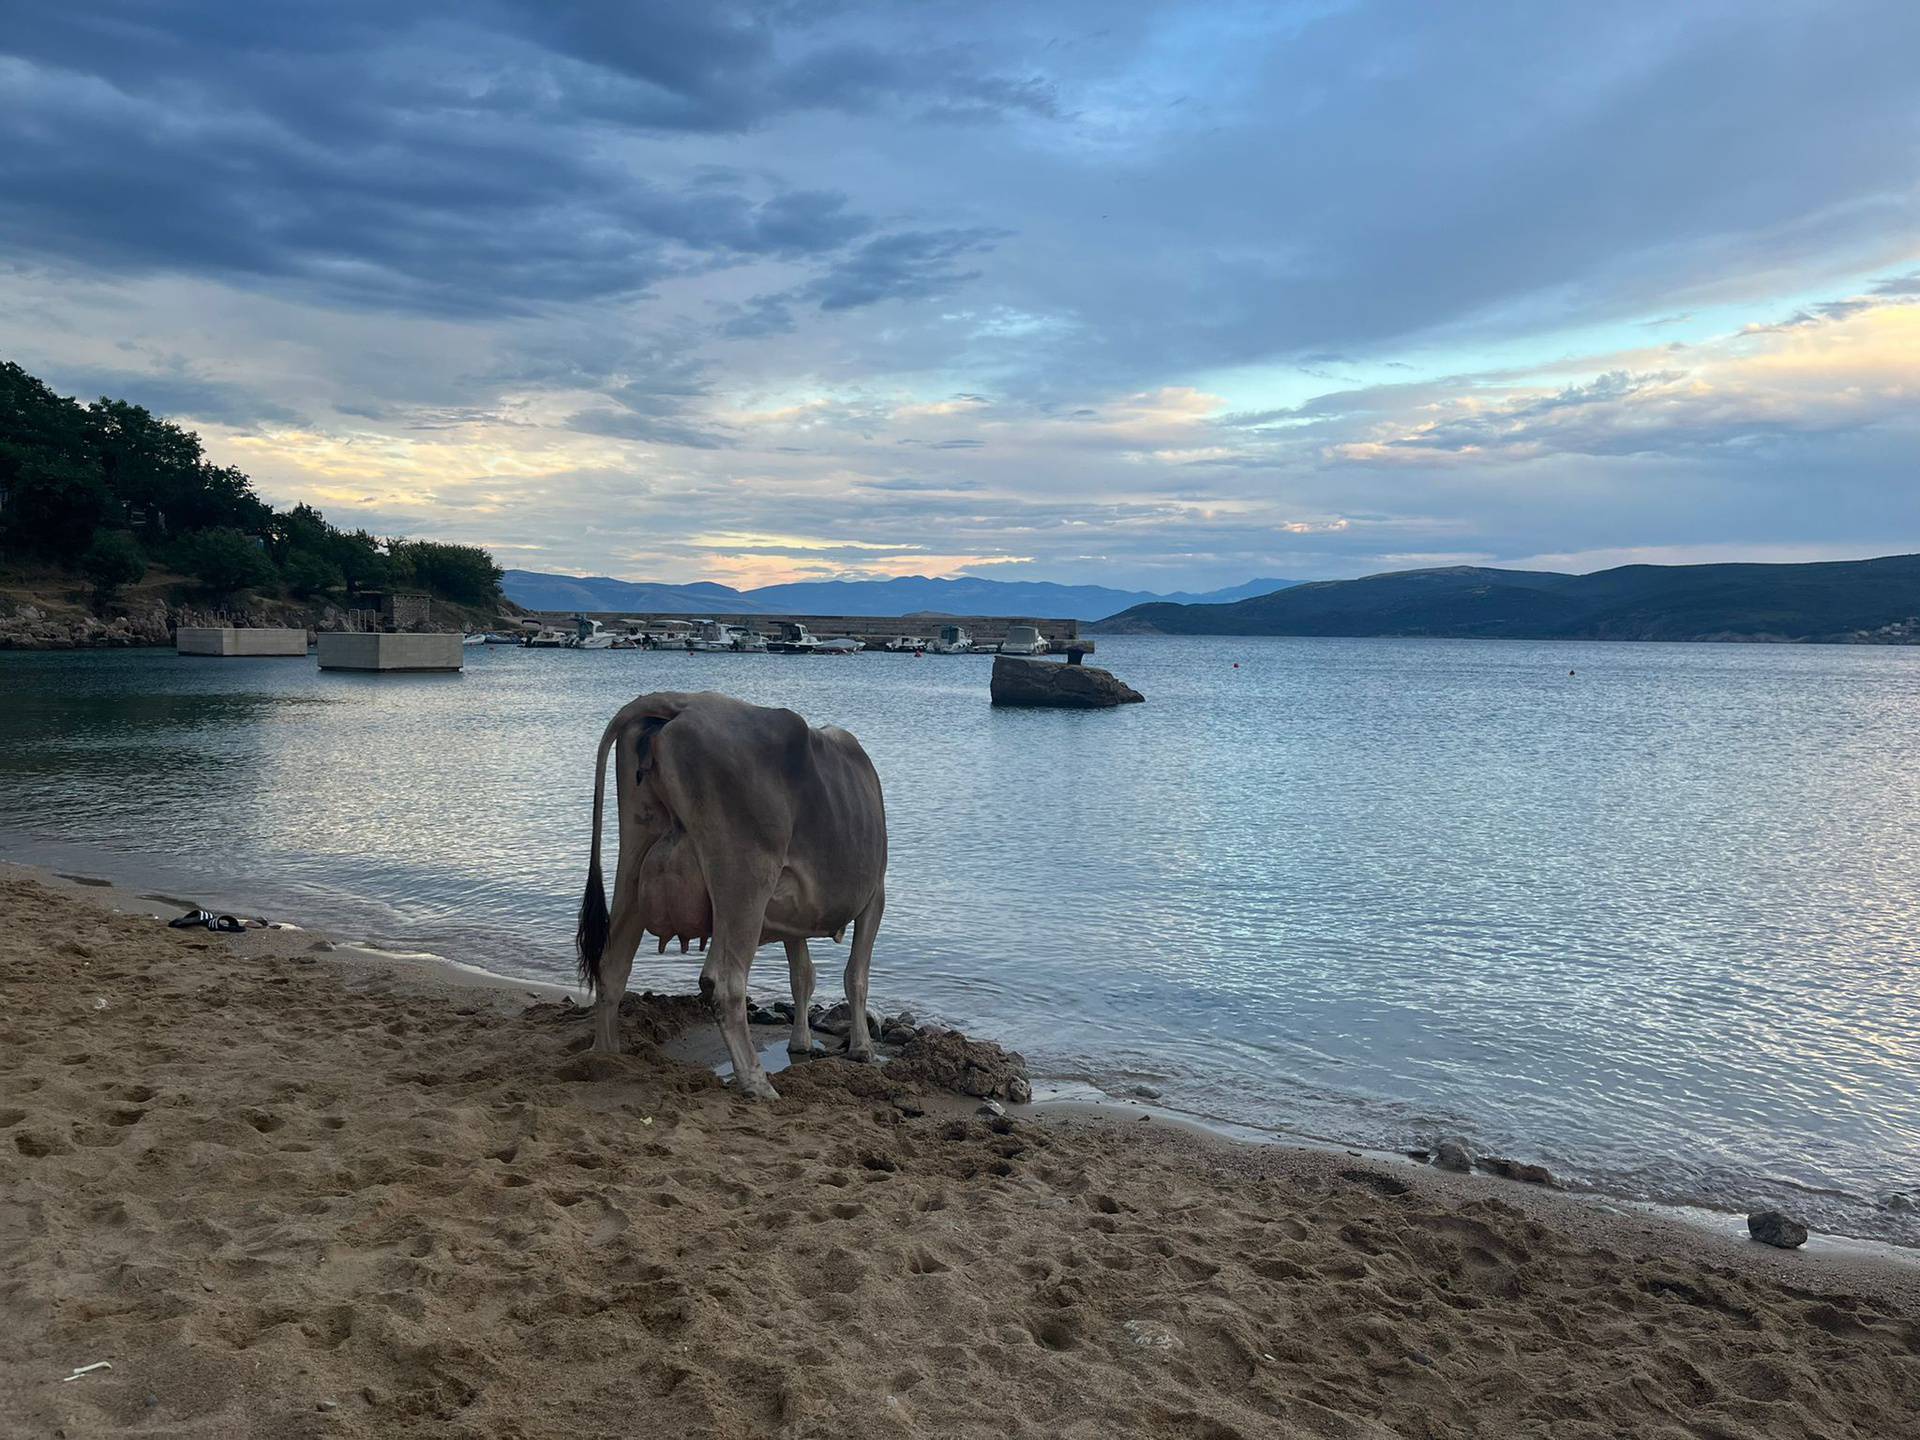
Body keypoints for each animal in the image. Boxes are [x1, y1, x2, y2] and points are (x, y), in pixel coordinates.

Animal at [572, 695, 887, 1098]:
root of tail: (682, 703)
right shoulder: (876, 894)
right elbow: (856, 975)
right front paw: (863, 1049)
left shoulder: (793, 911)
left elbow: (802, 975)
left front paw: (800, 1043)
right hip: (745, 880)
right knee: (724, 982)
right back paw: (757, 1082)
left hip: (633, 866)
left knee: (612, 964)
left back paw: (606, 1055)